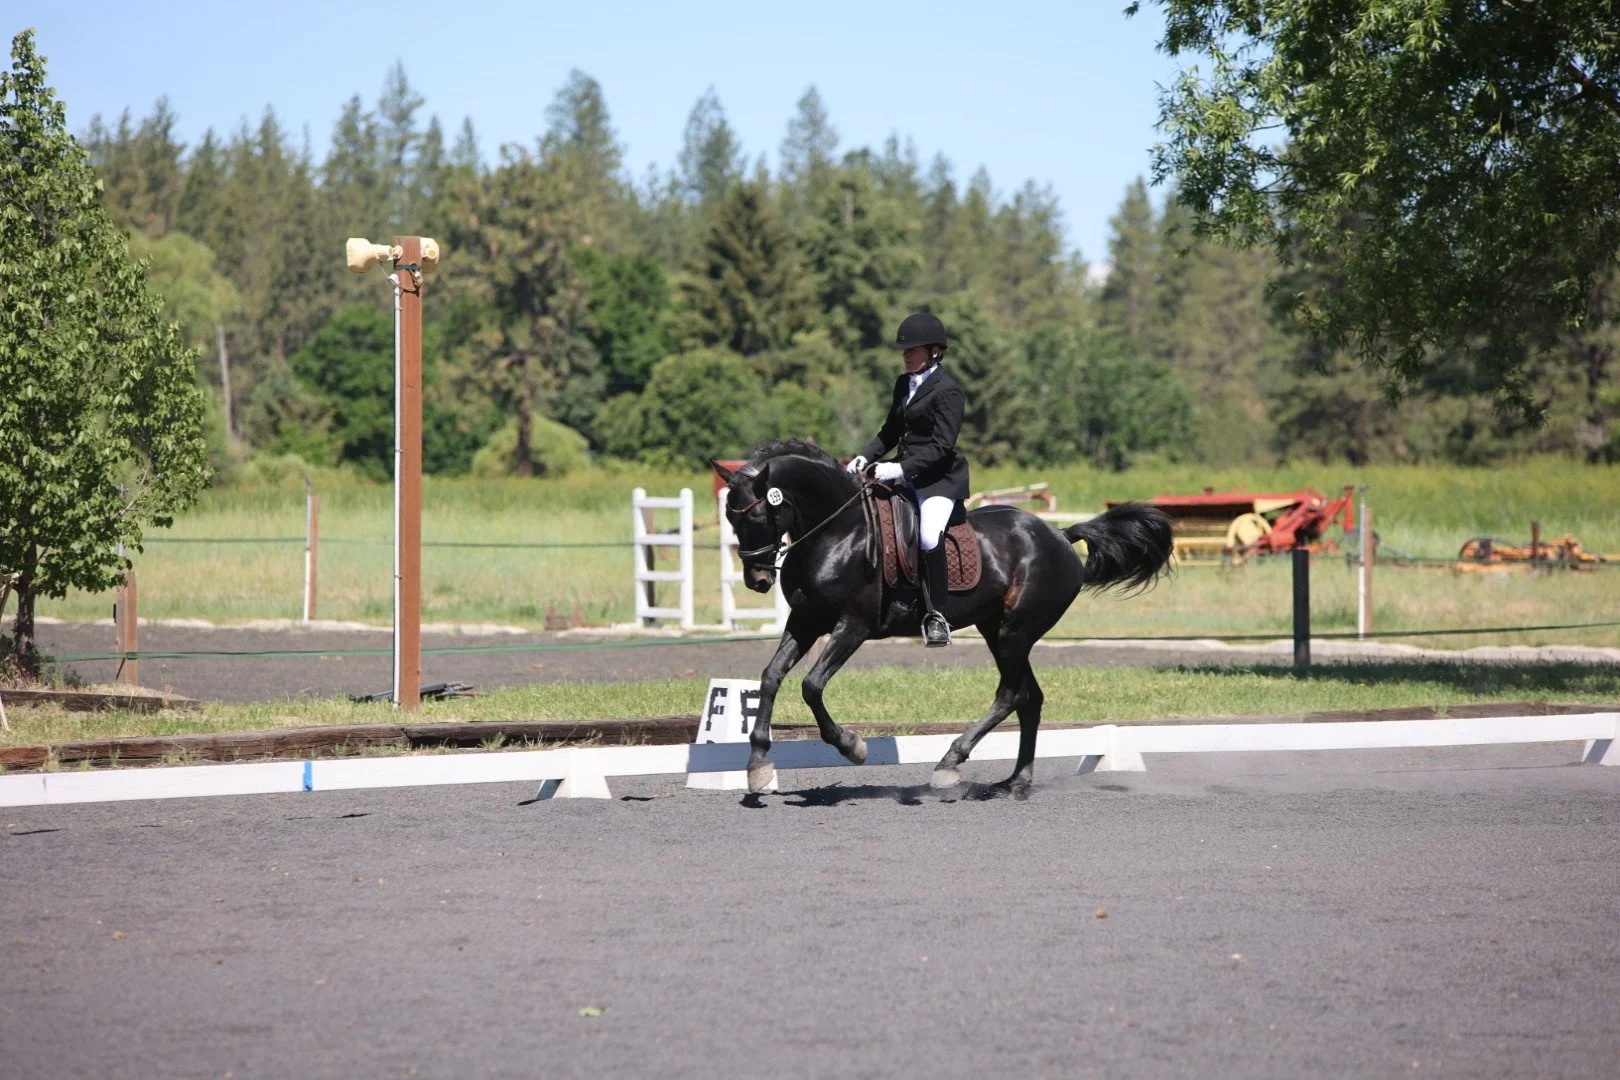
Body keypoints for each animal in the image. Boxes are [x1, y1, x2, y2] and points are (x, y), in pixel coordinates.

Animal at [714, 440, 1175, 799]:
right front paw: (757, 765)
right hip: (997, 630)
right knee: (1030, 698)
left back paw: (949, 764)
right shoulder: (806, 622)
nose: (757, 579)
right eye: (730, 518)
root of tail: (1060, 535)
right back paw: (1016, 782)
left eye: (758, 516)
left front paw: (852, 747)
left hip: (1014, 631)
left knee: (1010, 694)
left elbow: (811, 686)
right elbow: (770, 676)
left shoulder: (853, 626)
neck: (837, 531)